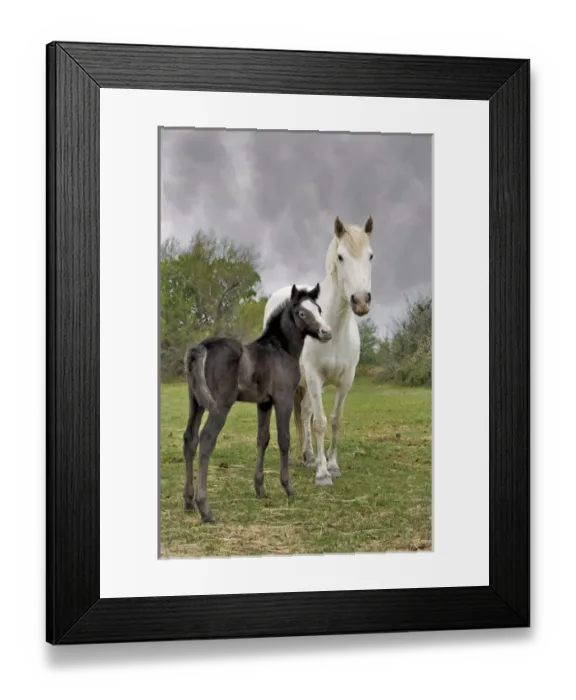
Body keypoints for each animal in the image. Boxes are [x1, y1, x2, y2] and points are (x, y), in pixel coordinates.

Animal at [182, 283, 332, 523]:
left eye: (318, 309)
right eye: (302, 313)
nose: (326, 332)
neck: (280, 350)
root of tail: (202, 347)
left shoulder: (264, 403)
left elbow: (263, 439)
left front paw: (260, 488)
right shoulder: (282, 399)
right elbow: (284, 439)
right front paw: (288, 488)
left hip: (196, 403)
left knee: (190, 439)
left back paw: (188, 501)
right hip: (220, 406)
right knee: (206, 440)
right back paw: (205, 509)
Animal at [262, 215, 374, 487]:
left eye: (370, 256)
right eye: (341, 256)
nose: (361, 301)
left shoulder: (344, 381)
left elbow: (333, 420)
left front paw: (331, 465)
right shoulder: (314, 376)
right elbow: (320, 422)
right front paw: (323, 474)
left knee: (304, 414)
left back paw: (308, 456)